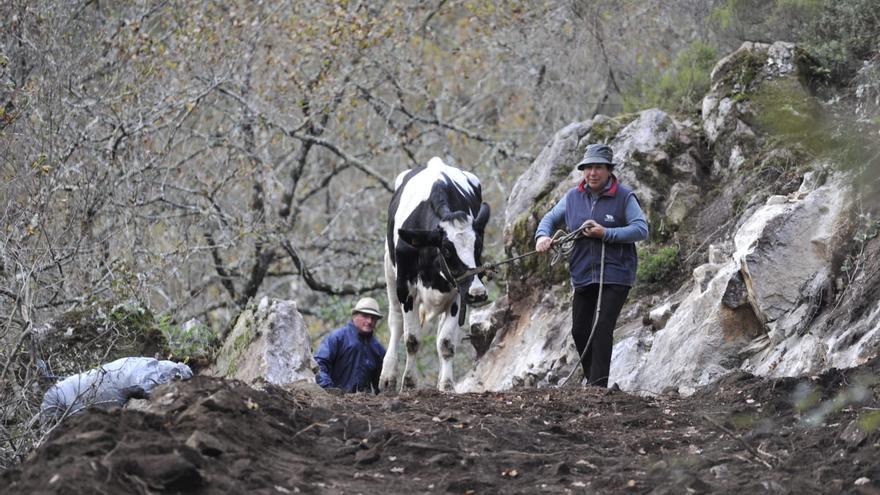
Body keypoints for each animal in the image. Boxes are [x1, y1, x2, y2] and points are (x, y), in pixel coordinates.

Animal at [382, 158, 492, 392]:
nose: (478, 293)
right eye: (447, 250)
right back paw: (387, 376)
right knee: (395, 321)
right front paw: (409, 382)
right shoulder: (407, 288)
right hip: (389, 268)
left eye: (478, 246)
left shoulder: (459, 290)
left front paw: (447, 385)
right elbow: (412, 339)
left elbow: (446, 342)